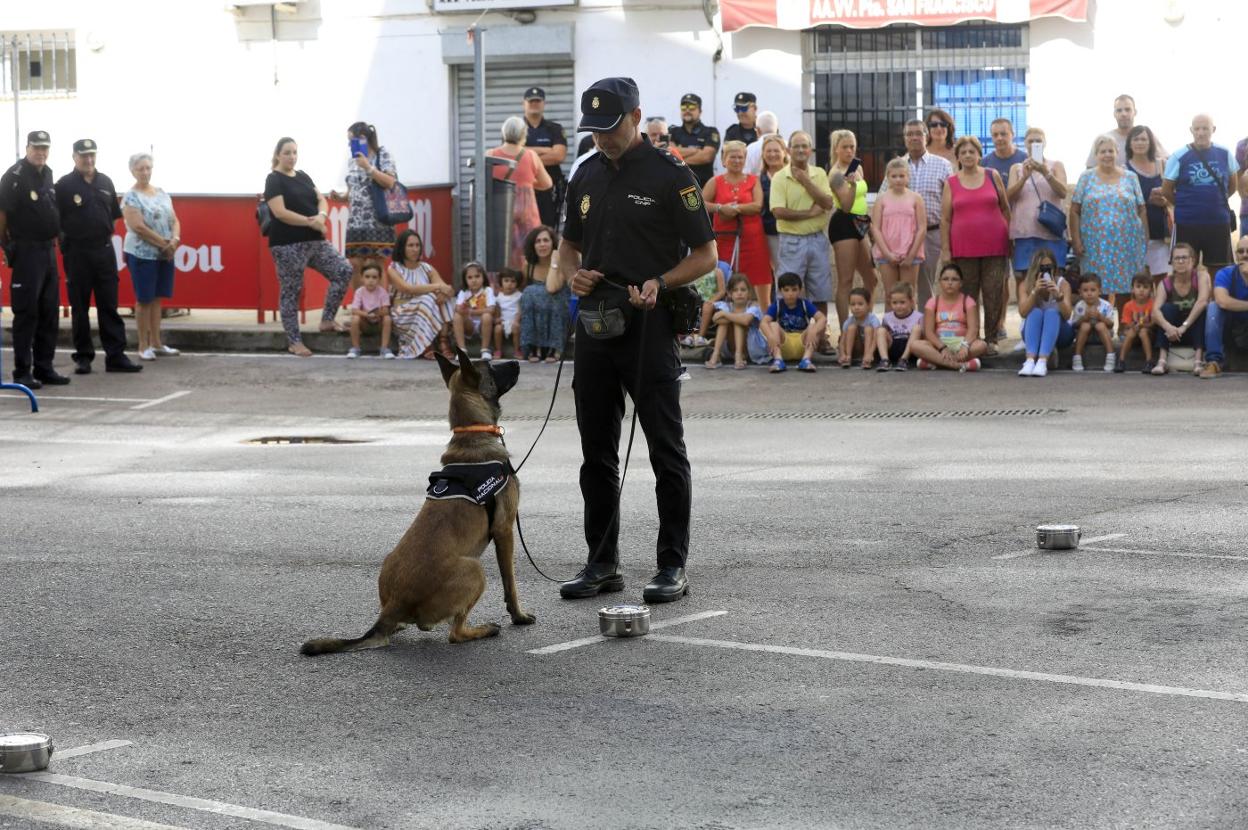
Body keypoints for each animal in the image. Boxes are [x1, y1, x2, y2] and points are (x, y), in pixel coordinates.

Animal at [305, 344, 536, 654]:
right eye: (490, 365)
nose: (517, 361)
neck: (471, 433)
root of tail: (393, 606)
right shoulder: (505, 530)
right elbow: (510, 582)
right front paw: (518, 616)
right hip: (474, 569)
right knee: (455, 633)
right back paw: (483, 630)